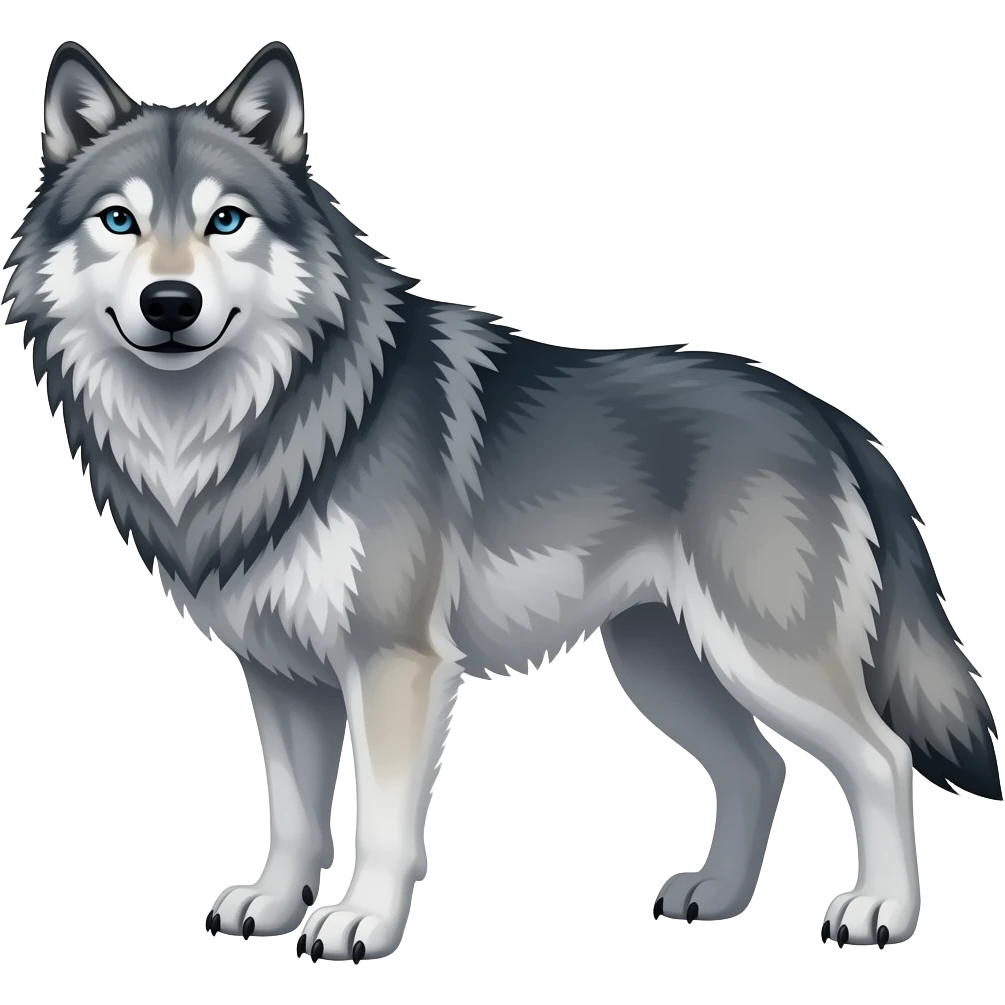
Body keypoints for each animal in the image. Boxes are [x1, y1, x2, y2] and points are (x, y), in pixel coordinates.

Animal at [5, 38, 1000, 963]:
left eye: (226, 220)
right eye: (119, 220)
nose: (170, 302)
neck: (243, 427)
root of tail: (828, 415)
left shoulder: (394, 664)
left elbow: (381, 821)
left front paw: (361, 923)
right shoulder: (281, 676)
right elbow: (291, 814)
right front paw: (275, 907)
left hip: (760, 657)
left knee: (882, 758)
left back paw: (879, 912)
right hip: (665, 664)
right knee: (759, 766)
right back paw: (714, 895)